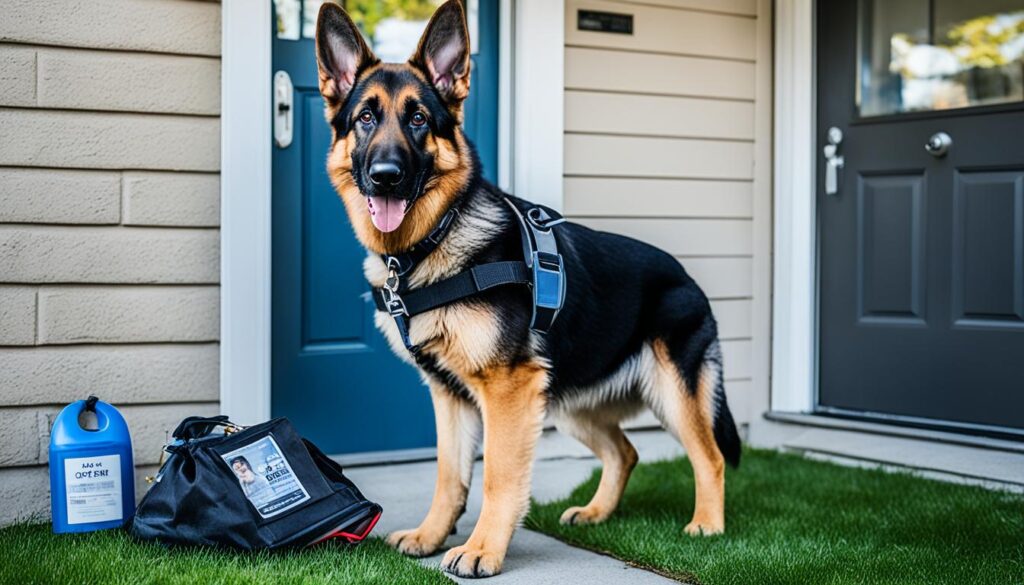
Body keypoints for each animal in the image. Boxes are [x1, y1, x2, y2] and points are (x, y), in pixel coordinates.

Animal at [315, 0, 741, 577]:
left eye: (419, 119)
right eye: (365, 118)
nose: (385, 175)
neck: (434, 238)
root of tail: (687, 277)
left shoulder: (509, 390)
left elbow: (497, 474)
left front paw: (481, 550)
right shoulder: (450, 397)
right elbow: (448, 475)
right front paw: (430, 536)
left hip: (671, 393)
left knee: (710, 455)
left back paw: (707, 525)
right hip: (568, 403)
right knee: (624, 452)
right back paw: (596, 512)